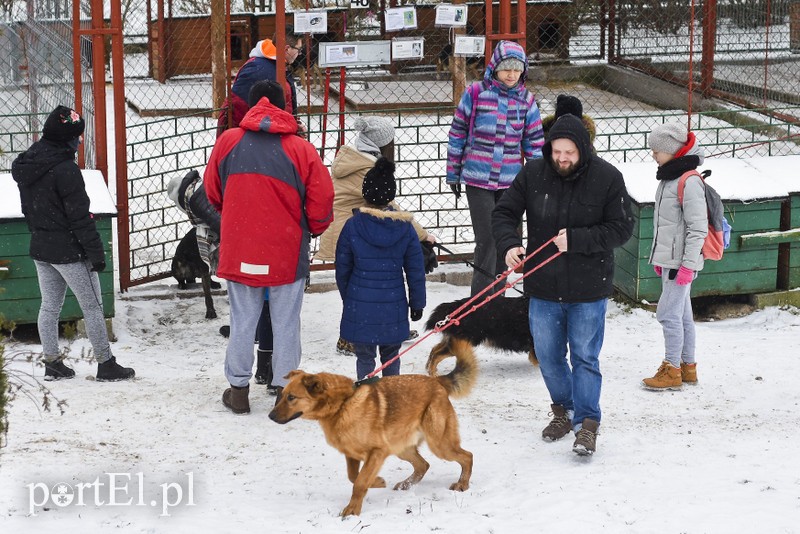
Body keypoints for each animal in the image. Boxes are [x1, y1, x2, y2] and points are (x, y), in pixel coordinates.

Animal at [268, 340, 482, 520]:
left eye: (291, 398)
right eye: (283, 394)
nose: (270, 417)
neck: (343, 404)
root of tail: (438, 382)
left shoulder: (378, 452)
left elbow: (360, 482)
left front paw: (353, 510)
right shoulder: (352, 455)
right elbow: (354, 477)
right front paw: (377, 481)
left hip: (439, 444)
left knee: (467, 456)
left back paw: (462, 484)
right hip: (402, 448)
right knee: (423, 465)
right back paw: (406, 484)